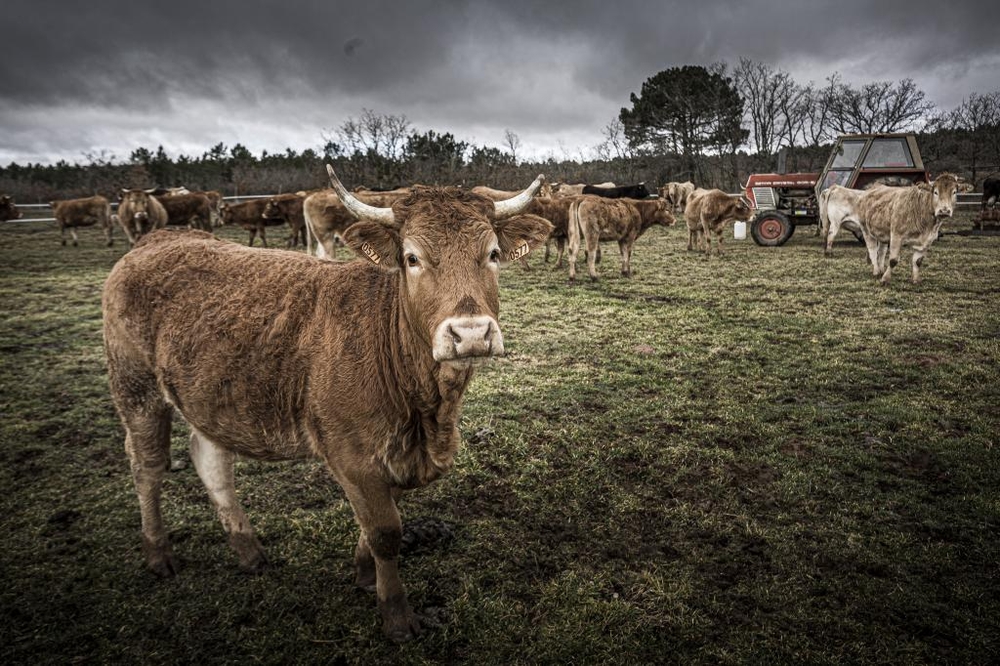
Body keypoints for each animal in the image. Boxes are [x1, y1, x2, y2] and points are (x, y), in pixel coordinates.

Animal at [103, 167, 556, 644]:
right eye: (412, 258)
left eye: (492, 254)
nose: (470, 334)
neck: (425, 407)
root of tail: (157, 239)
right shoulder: (351, 454)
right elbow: (385, 532)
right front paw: (396, 615)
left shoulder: (397, 452)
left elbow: (377, 524)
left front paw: (365, 576)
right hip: (136, 388)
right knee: (147, 467)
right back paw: (158, 554)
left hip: (208, 397)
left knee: (211, 460)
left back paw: (248, 551)